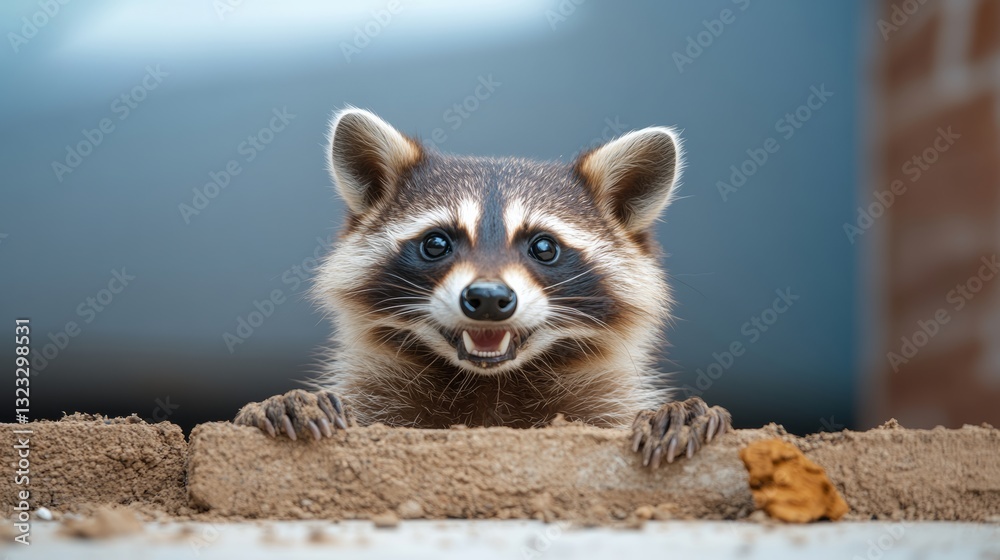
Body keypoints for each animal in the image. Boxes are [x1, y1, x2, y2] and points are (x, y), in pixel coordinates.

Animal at [234, 108, 732, 466]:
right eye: (436, 243)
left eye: (544, 247)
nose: (489, 300)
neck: (488, 383)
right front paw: (282, 403)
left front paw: (675, 411)